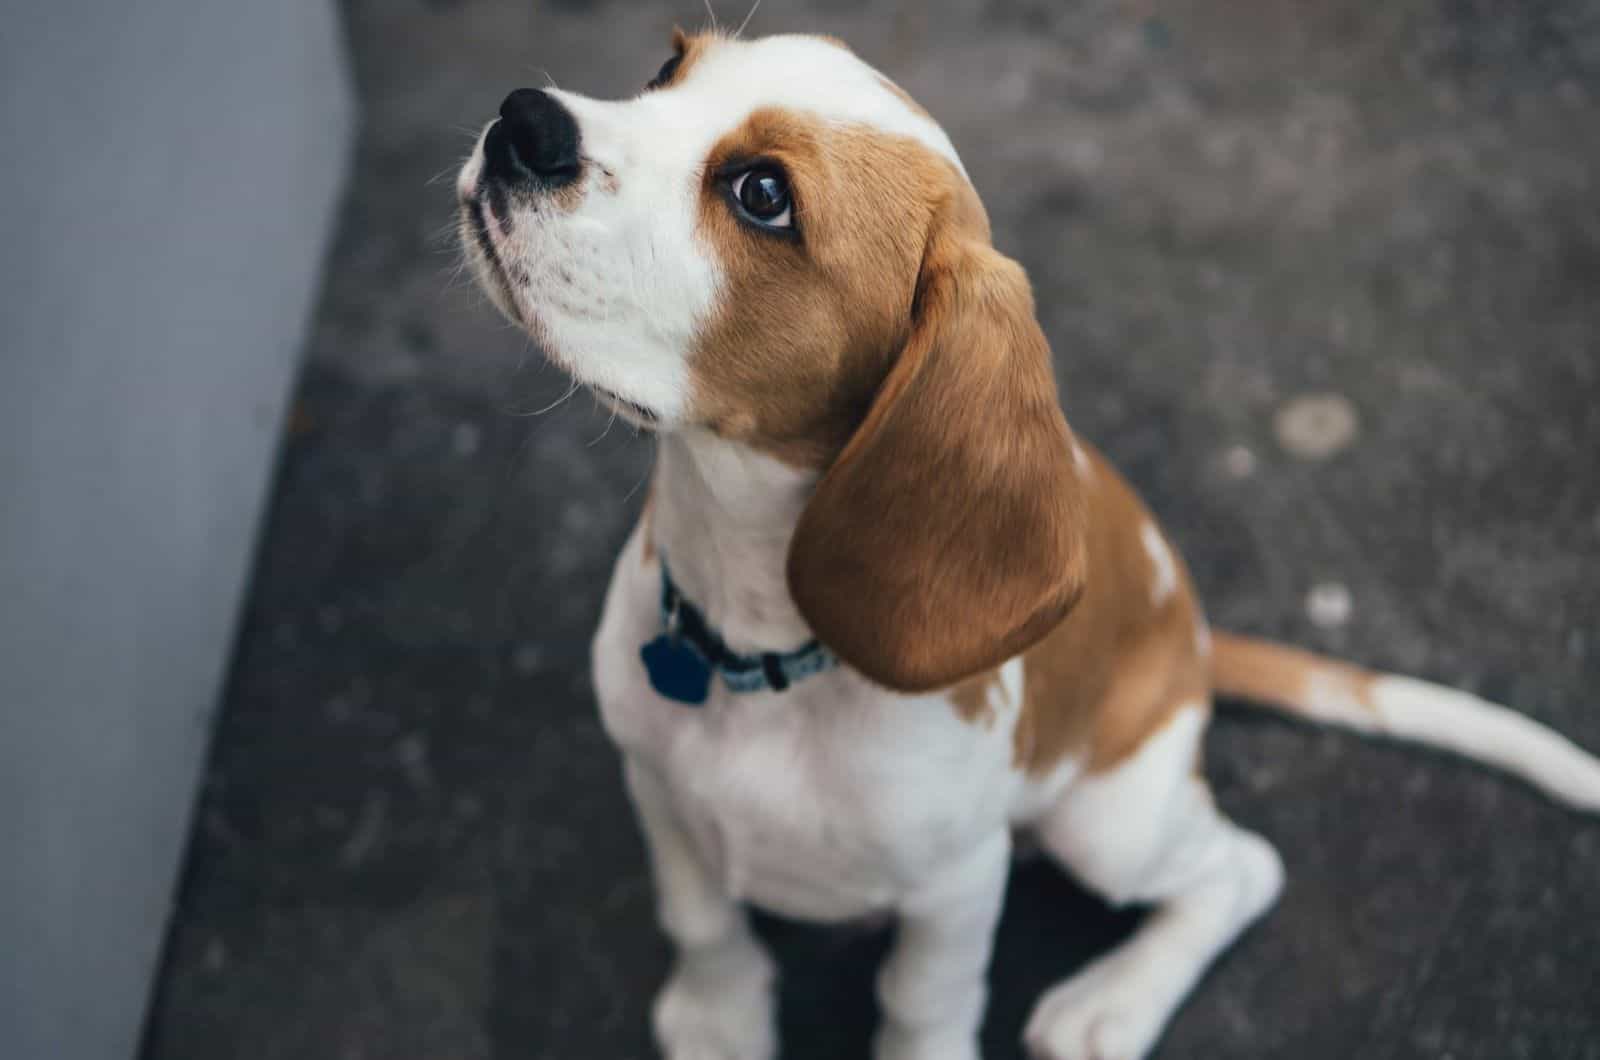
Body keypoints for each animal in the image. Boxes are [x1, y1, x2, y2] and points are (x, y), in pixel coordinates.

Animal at [457, 29, 1600, 1056]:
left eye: (762, 194)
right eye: (668, 66)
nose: (524, 121)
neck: (754, 647)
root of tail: (1195, 640)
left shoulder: (958, 884)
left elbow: (923, 1005)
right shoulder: (658, 787)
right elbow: (703, 923)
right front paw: (718, 1020)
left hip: (1107, 822)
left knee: (1241, 869)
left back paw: (1111, 1005)